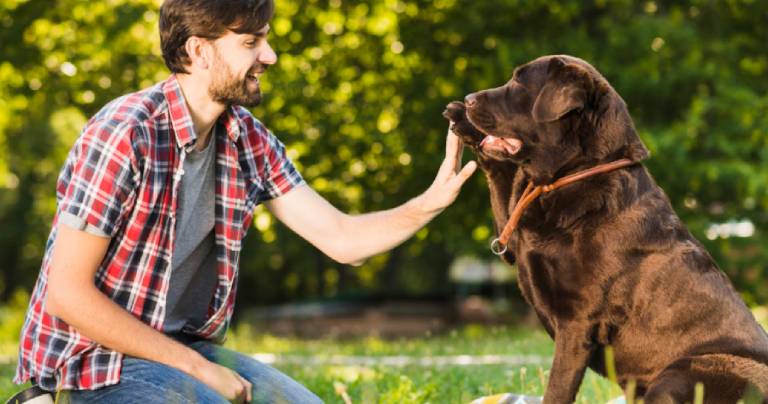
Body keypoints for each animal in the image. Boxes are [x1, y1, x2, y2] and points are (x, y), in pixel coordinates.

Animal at [444, 55, 768, 402]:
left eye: (519, 82)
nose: (468, 99)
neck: (578, 172)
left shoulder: (577, 322)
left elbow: (557, 389)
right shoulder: (515, 235)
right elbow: (500, 175)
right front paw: (461, 119)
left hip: (687, 370)